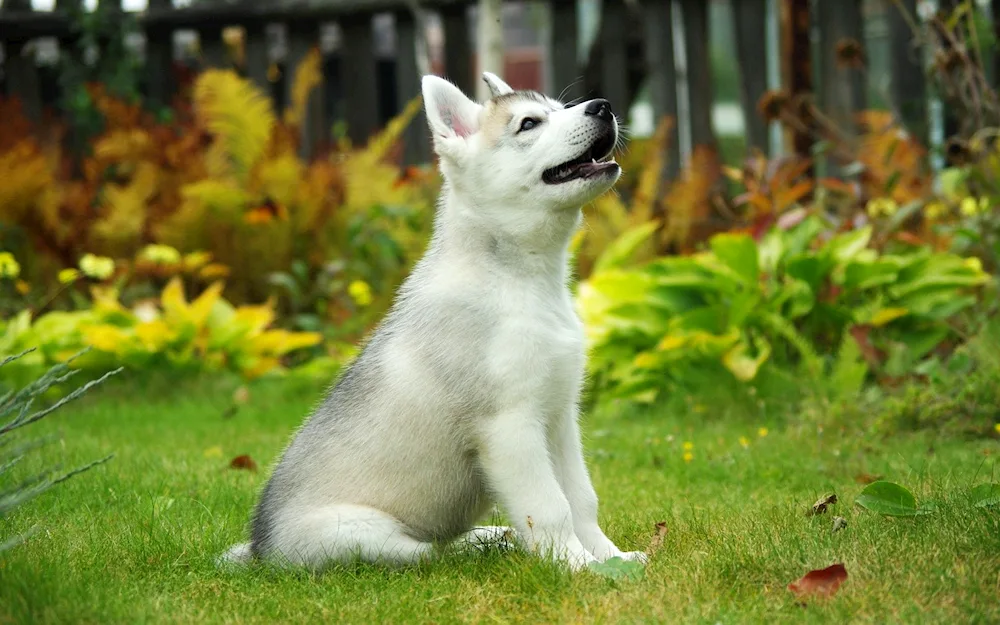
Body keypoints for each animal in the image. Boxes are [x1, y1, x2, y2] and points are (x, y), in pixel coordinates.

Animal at [221, 72, 648, 572]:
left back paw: (491, 537)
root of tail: (260, 549)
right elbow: (549, 507)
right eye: (528, 123)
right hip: (364, 534)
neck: (524, 280)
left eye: (560, 108)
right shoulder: (509, 425)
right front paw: (579, 567)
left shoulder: (560, 418)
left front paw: (613, 558)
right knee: (428, 553)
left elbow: (581, 498)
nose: (602, 106)